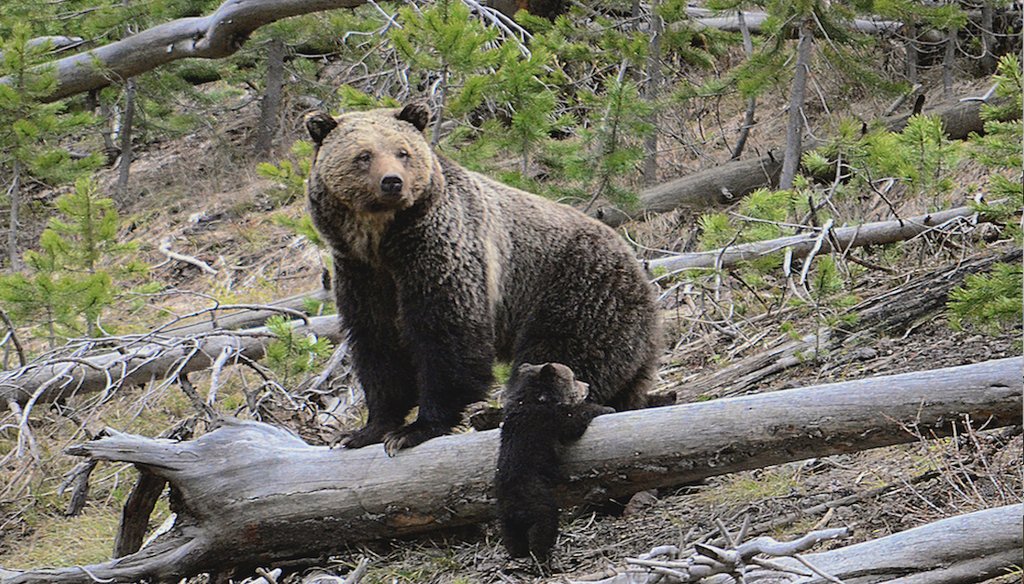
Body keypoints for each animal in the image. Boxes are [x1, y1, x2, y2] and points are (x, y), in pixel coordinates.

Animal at [304, 103, 659, 455]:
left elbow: (447, 334)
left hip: (578, 289)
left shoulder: (440, 252)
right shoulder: (361, 273)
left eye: (402, 152)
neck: (382, 241)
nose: (392, 182)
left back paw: (497, 412)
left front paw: (416, 429)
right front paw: (365, 431)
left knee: (562, 354)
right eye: (363, 155)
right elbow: (377, 345)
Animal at [496, 362, 614, 561]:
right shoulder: (550, 419)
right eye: (573, 378)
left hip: (505, 517)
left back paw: (518, 553)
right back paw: (543, 557)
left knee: (512, 538)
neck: (536, 398)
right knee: (543, 528)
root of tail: (514, 507)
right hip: (537, 502)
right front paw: (605, 408)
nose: (587, 386)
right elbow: (573, 422)